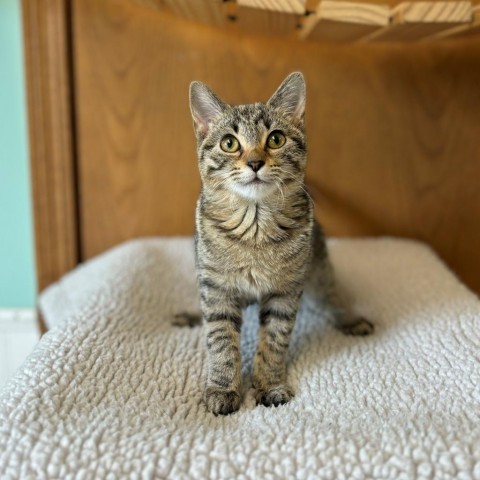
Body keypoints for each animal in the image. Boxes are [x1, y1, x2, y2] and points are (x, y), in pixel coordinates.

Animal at [189, 73, 374, 414]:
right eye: (229, 143)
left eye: (275, 139)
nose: (254, 162)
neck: (255, 228)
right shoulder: (217, 289)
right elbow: (221, 342)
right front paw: (222, 388)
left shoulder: (285, 292)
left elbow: (274, 341)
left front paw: (270, 385)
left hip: (318, 267)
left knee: (331, 296)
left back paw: (350, 318)